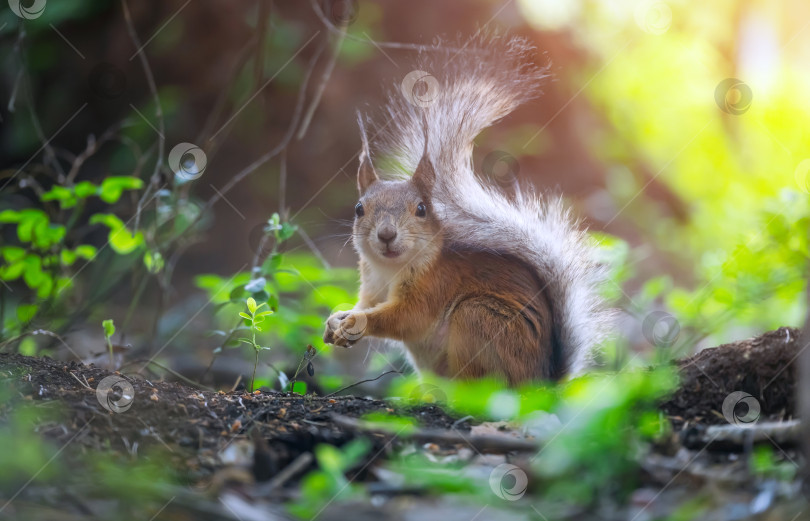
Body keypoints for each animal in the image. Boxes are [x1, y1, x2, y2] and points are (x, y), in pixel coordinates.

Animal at [322, 34, 612, 384]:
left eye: (422, 208)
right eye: (358, 209)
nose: (387, 235)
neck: (389, 269)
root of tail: (541, 382)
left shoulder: (435, 285)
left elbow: (408, 318)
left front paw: (356, 323)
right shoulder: (371, 288)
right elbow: (364, 304)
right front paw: (337, 318)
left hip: (478, 319)